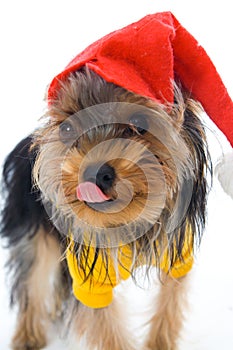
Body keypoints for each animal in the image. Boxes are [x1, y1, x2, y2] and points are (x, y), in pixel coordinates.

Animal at [1, 11, 233, 350]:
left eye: (138, 124)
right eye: (68, 128)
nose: (92, 173)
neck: (130, 220)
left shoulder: (178, 255)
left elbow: (170, 300)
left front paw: (159, 344)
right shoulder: (89, 275)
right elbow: (105, 324)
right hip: (31, 223)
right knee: (33, 276)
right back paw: (29, 336)